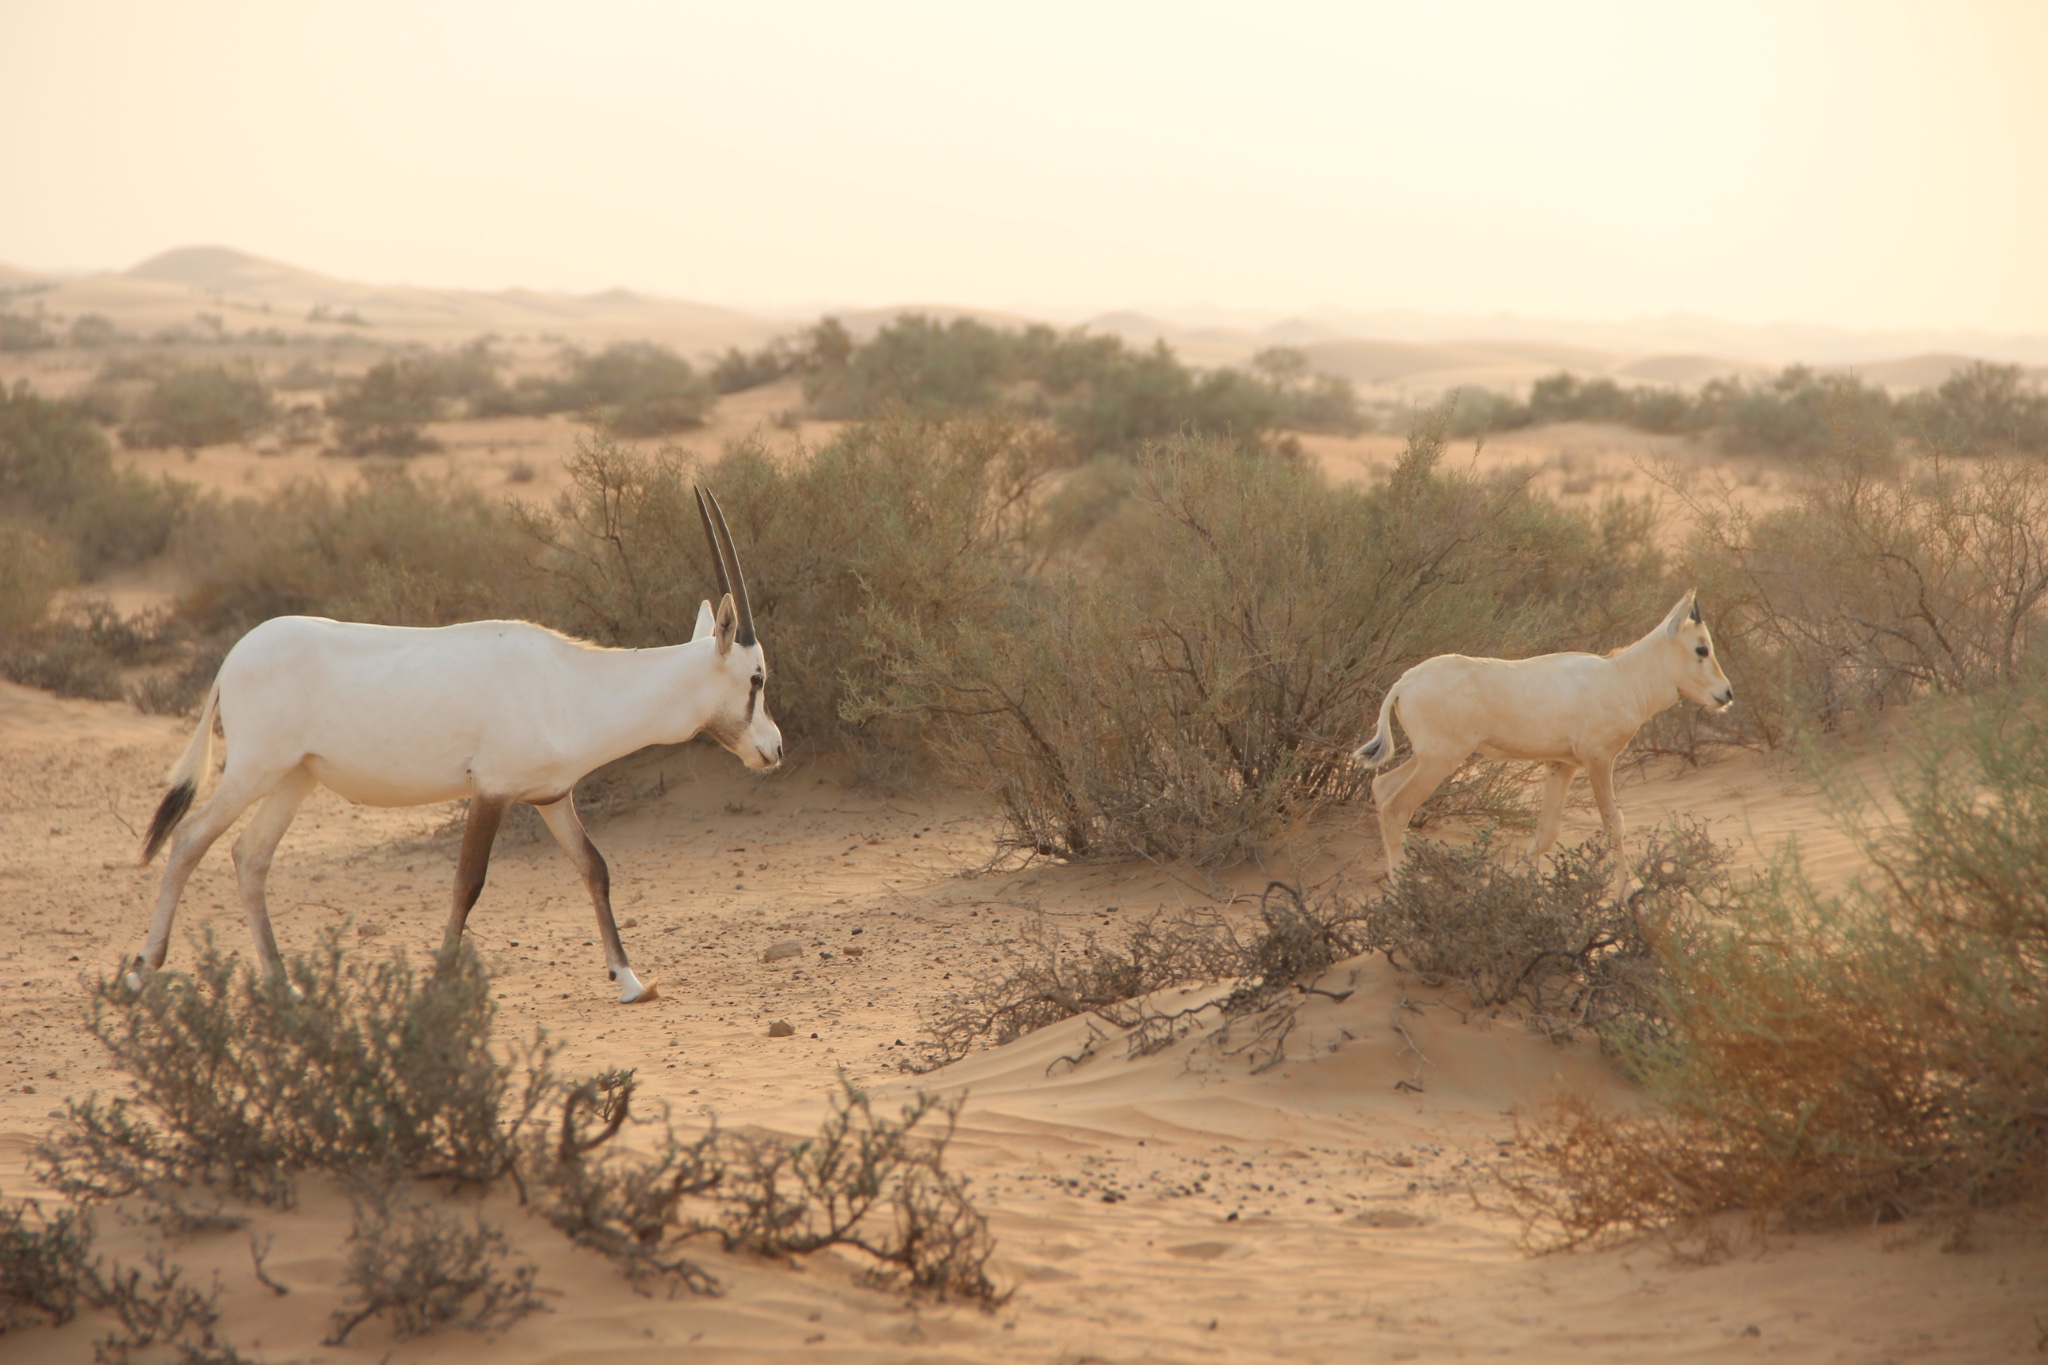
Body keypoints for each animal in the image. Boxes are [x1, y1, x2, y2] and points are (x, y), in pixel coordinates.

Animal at [130, 485, 782, 998]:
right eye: (757, 678)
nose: (774, 750)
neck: (570, 681)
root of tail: (234, 657)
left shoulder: (551, 798)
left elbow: (594, 869)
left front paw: (629, 980)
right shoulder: (490, 791)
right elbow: (468, 882)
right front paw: (442, 981)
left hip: (295, 778)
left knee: (250, 857)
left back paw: (281, 983)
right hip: (253, 771)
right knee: (188, 840)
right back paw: (143, 971)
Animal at [1359, 589, 1728, 892]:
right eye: (1701, 648)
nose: (1726, 694)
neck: (1621, 675)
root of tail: (1404, 684)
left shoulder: (1561, 765)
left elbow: (1547, 832)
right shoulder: (1598, 760)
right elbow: (1614, 823)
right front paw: (1627, 895)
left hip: (1427, 758)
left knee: (1382, 787)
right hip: (1440, 760)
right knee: (1396, 809)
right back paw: (1402, 893)